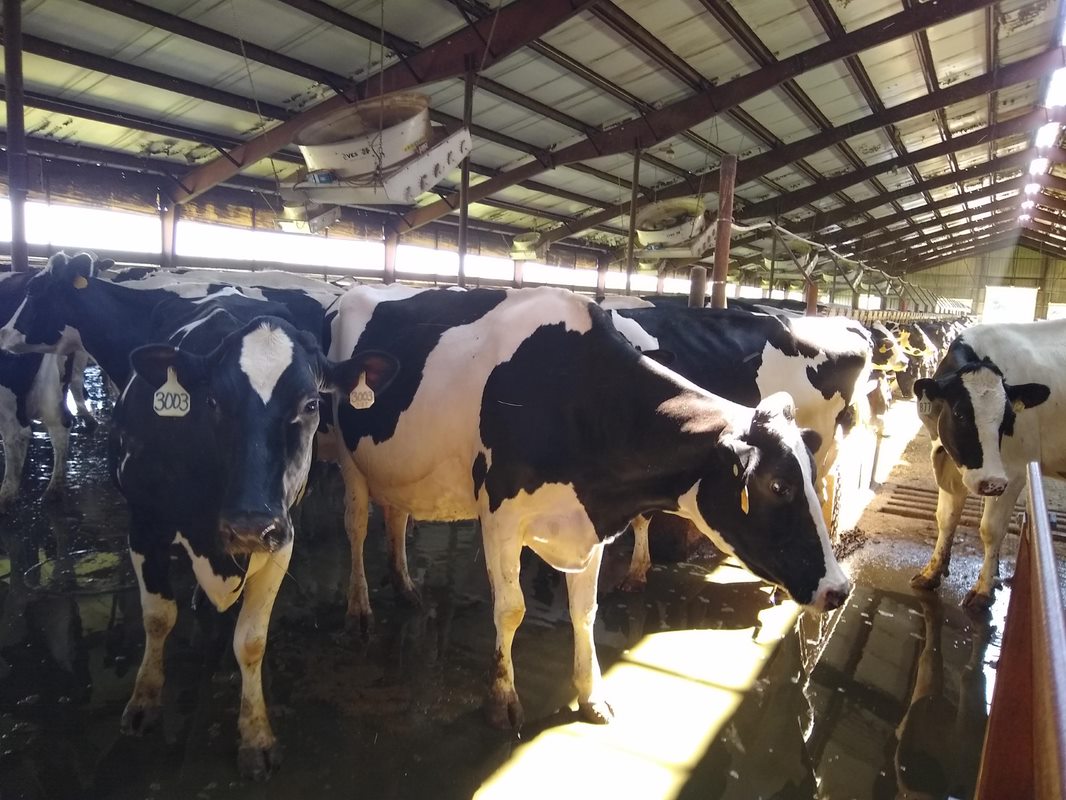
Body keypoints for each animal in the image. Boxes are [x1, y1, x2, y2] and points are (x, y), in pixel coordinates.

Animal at [908, 322, 1057, 610]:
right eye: (959, 413)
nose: (991, 483)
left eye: (1009, 419)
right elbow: (946, 518)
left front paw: (984, 589)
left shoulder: (1014, 472)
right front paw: (931, 572)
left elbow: (991, 529)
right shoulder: (949, 463)